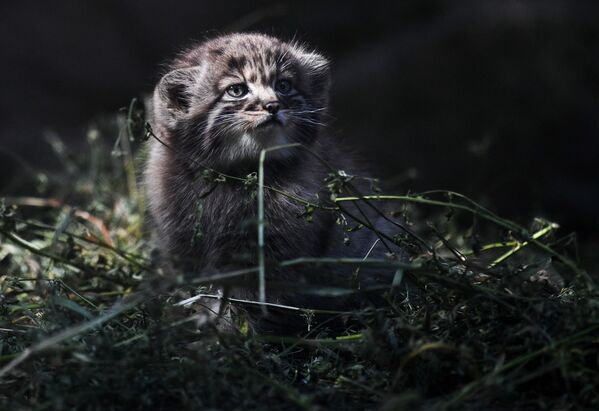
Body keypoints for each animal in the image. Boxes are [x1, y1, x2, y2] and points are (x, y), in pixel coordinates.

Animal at [144, 33, 404, 334]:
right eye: (237, 90)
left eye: (284, 85)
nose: (273, 105)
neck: (235, 177)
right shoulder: (183, 245)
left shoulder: (273, 256)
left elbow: (251, 304)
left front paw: (233, 335)